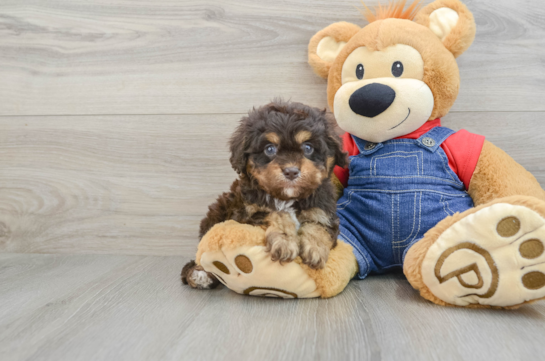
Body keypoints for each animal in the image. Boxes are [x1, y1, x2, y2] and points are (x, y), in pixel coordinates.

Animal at [181, 100, 346, 288]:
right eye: (270, 149)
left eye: (308, 147)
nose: (291, 171)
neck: (286, 197)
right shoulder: (247, 212)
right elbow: (277, 213)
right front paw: (285, 242)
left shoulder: (323, 210)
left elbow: (318, 225)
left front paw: (315, 249)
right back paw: (199, 274)